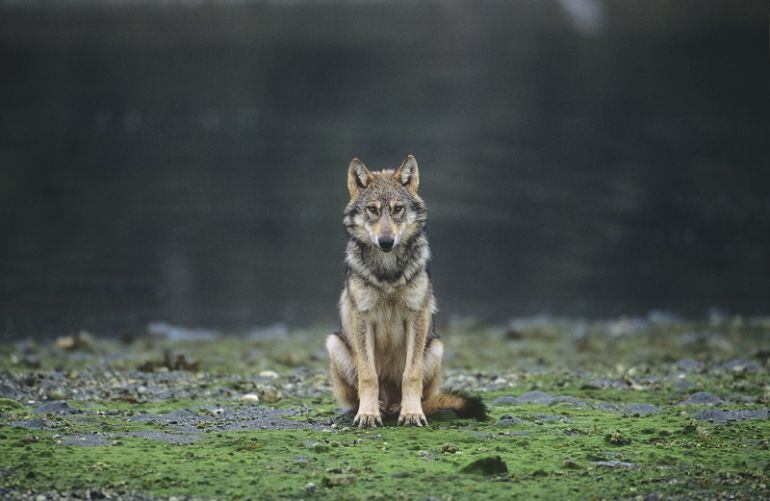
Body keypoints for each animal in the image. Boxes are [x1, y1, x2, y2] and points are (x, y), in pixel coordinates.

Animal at [326, 153, 486, 426]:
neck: (388, 274)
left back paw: (398, 408)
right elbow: (368, 375)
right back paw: (378, 407)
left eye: (397, 209)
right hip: (334, 343)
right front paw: (367, 414)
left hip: (435, 348)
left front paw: (412, 413)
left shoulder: (416, 316)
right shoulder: (363, 317)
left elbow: (411, 375)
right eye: (373, 210)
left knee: (421, 395)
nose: (386, 242)